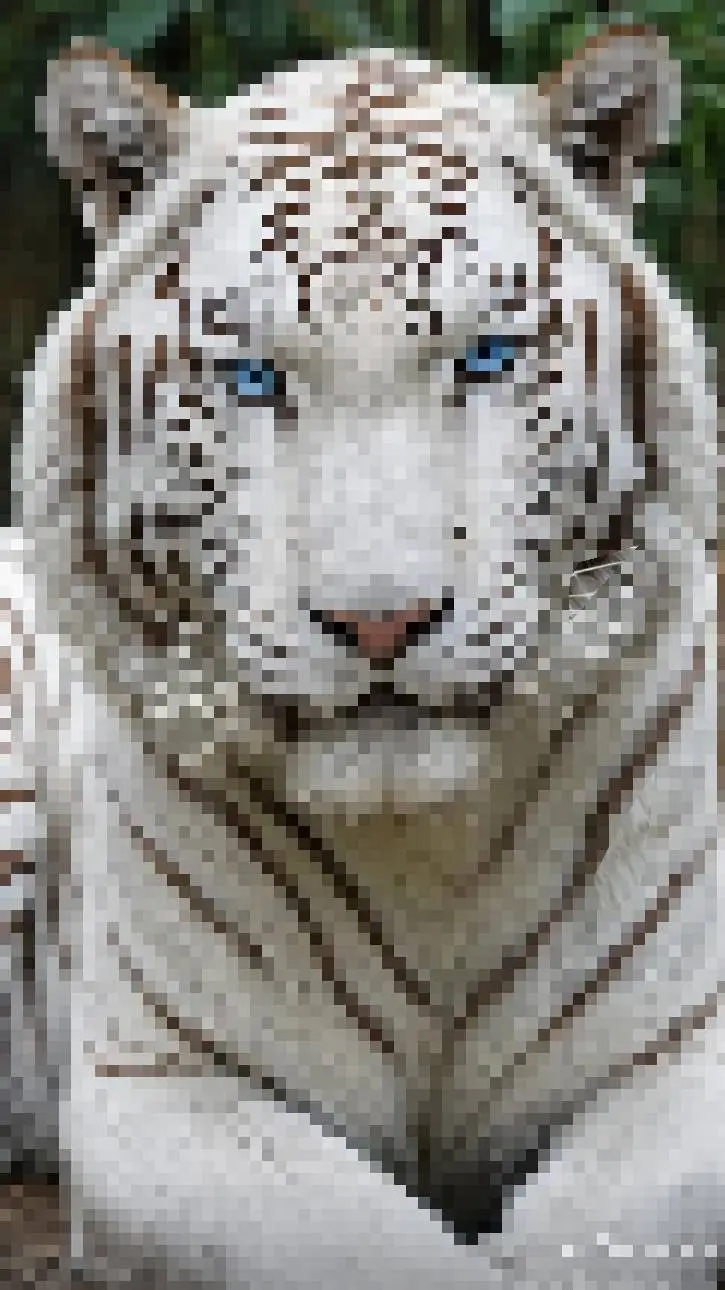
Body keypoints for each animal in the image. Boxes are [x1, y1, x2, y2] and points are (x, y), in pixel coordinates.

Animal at [4, 24, 721, 1289]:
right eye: (253, 378)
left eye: (483, 359)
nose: (380, 621)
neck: (424, 847)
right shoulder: (168, 1086)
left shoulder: (681, 1060)